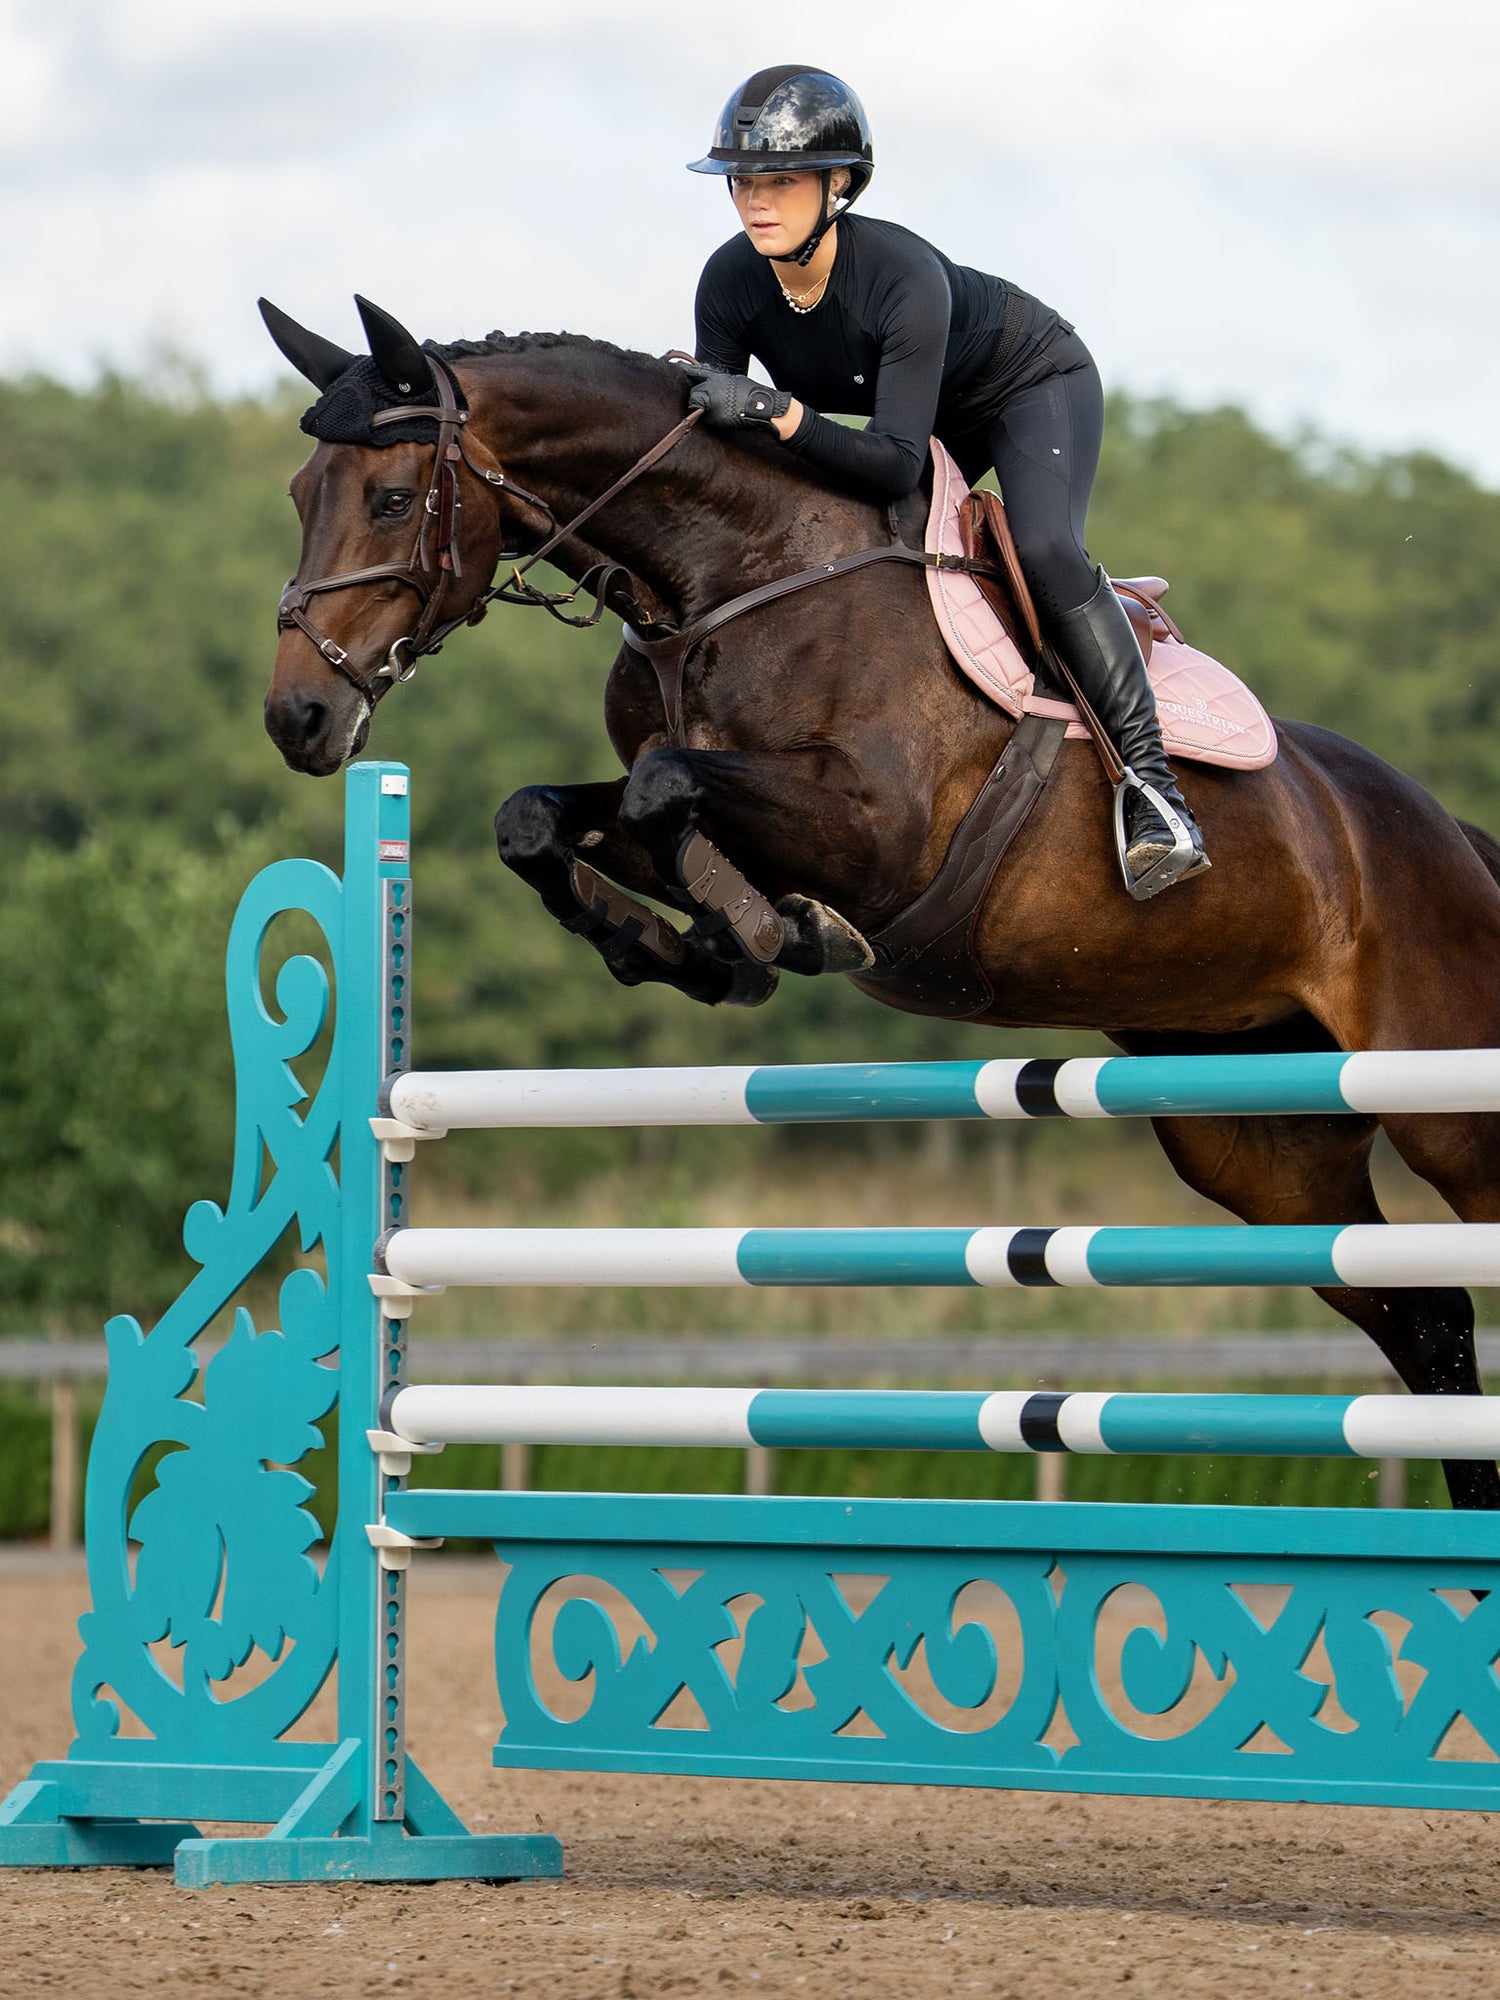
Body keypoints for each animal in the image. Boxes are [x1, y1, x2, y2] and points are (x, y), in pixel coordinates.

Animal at [261, 294, 1500, 1510]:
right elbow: (546, 815)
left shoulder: (880, 830)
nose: (299, 718)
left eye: (390, 496)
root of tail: (1456, 839)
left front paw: (769, 929)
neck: (731, 578)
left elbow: (670, 790)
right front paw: (684, 945)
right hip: (1258, 1139)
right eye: (299, 495)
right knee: (1427, 1315)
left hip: (1441, 1094)